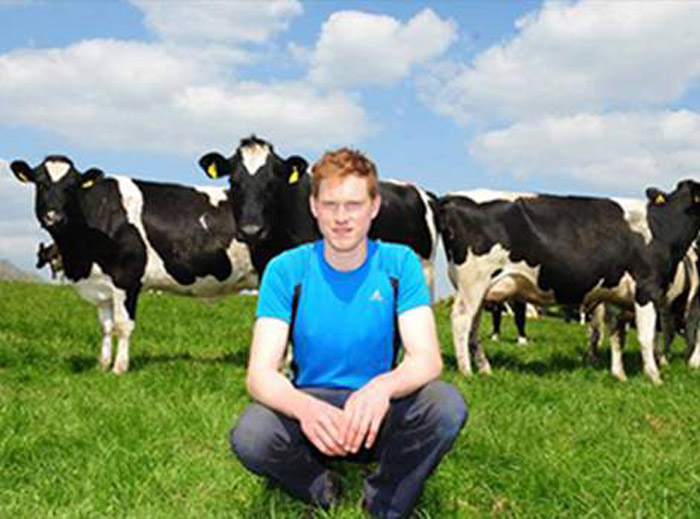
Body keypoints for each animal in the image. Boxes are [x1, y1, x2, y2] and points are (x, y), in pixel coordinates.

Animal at [11, 156, 258, 376]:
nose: (54, 217)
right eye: (40, 183)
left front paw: (119, 368)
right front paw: (102, 365)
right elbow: (106, 326)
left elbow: (123, 325)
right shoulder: (102, 285)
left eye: (72, 187)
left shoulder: (126, 278)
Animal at [440, 181, 700, 384]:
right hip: (473, 284)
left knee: (473, 326)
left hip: (481, 290)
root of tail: (451, 197)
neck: (661, 226)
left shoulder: (616, 297)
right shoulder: (648, 288)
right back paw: (466, 372)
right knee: (461, 320)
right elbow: (646, 336)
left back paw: (484, 368)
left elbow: (617, 337)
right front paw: (655, 377)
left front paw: (619, 375)